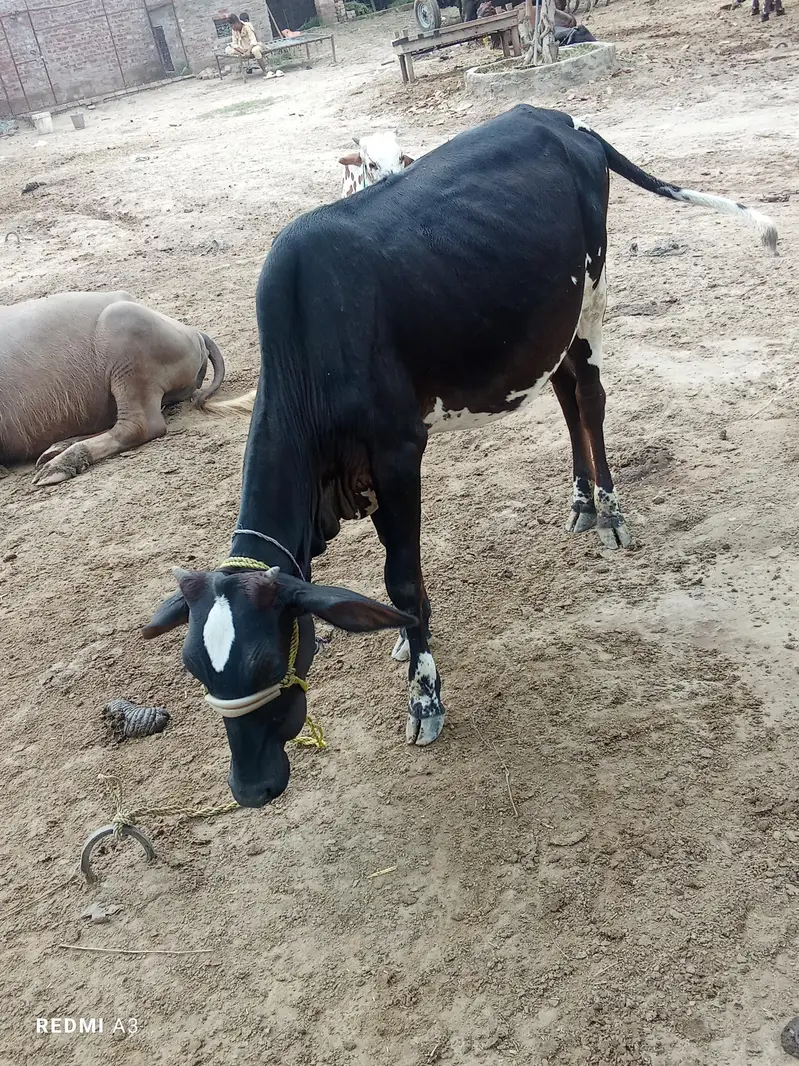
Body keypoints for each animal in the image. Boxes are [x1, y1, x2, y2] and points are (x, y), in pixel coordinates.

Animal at [144, 105, 777, 809]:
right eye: (194, 667)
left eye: (265, 659)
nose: (251, 785)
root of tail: (564, 120)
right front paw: (400, 636)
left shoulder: (398, 453)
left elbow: (403, 577)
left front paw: (424, 697)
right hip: (548, 321)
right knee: (565, 394)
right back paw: (581, 502)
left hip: (591, 293)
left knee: (589, 397)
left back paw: (611, 512)